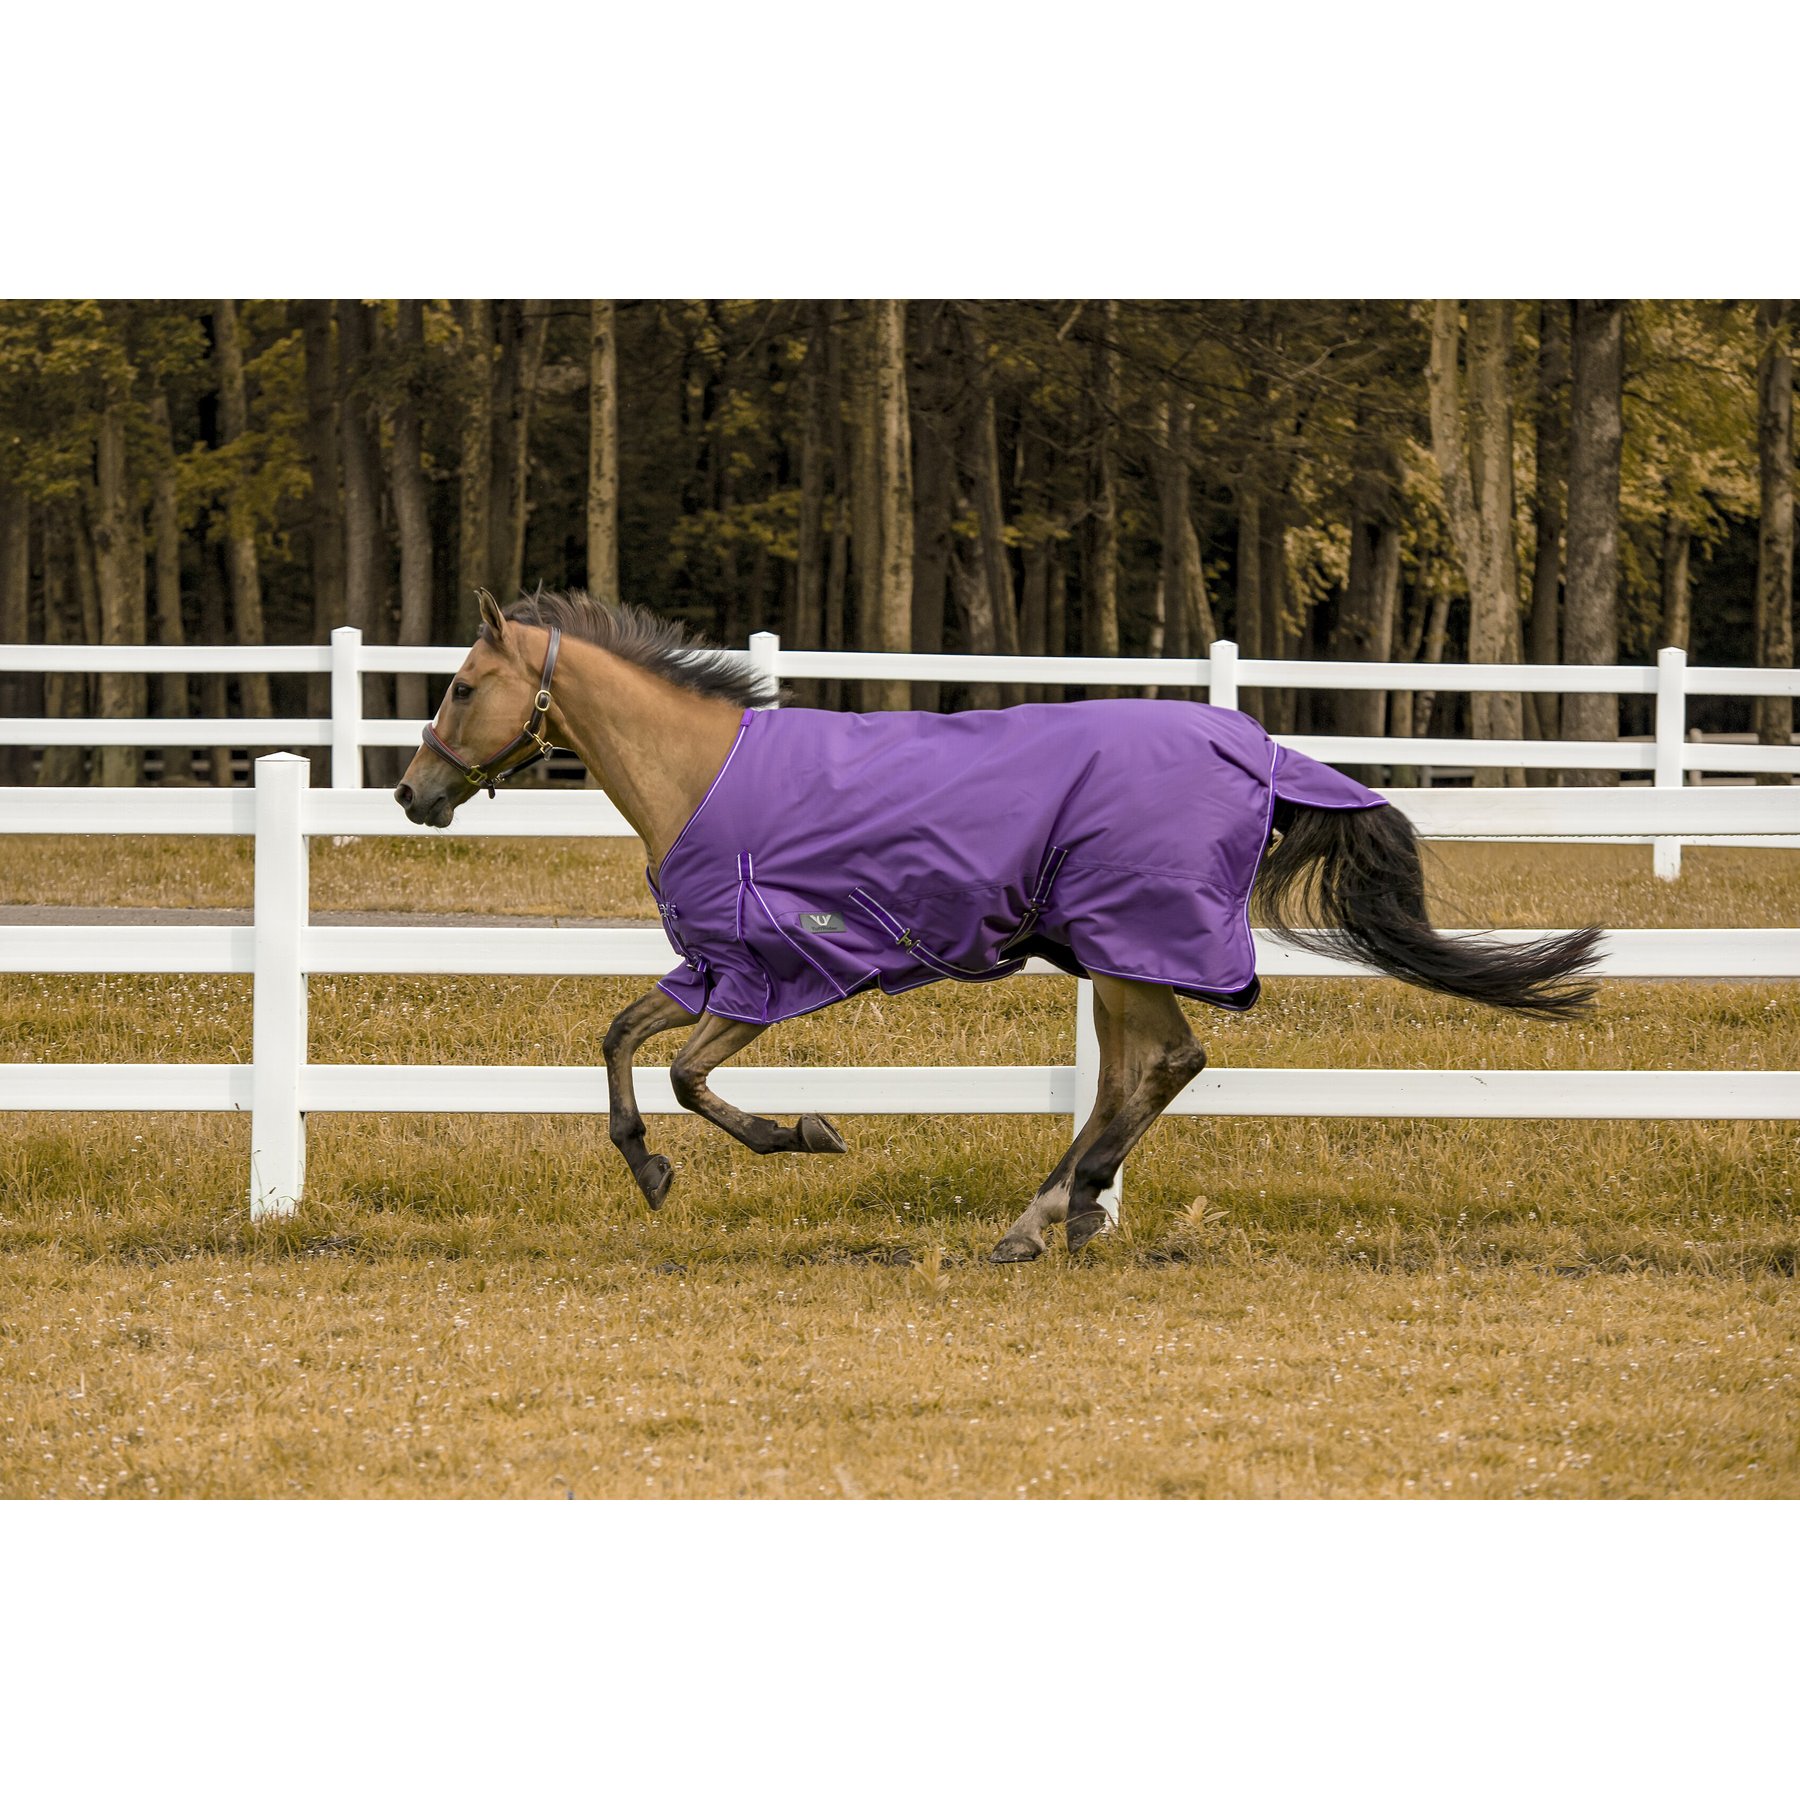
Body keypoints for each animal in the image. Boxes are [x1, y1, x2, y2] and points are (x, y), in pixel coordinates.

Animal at [395, 589, 1602, 1262]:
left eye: (460, 686)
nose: (413, 794)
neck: (705, 776)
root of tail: (1258, 750)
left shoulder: (776, 970)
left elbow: (691, 1078)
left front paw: (805, 1134)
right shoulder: (710, 967)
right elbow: (618, 1039)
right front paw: (646, 1169)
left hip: (1130, 945)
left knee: (1164, 1062)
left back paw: (1046, 1216)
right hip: (1110, 955)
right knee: (1137, 1072)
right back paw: (1065, 1210)